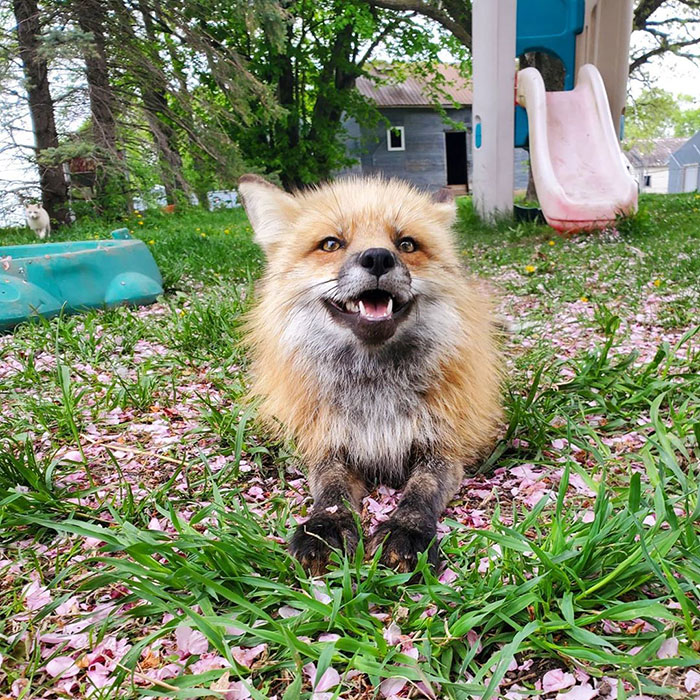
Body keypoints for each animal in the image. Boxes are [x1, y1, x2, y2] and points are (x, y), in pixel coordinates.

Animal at [238, 174, 503, 575]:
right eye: (331, 243)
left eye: (406, 244)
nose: (378, 257)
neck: (374, 392)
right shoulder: (328, 444)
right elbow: (331, 492)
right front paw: (324, 528)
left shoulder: (443, 446)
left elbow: (420, 492)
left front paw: (406, 531)